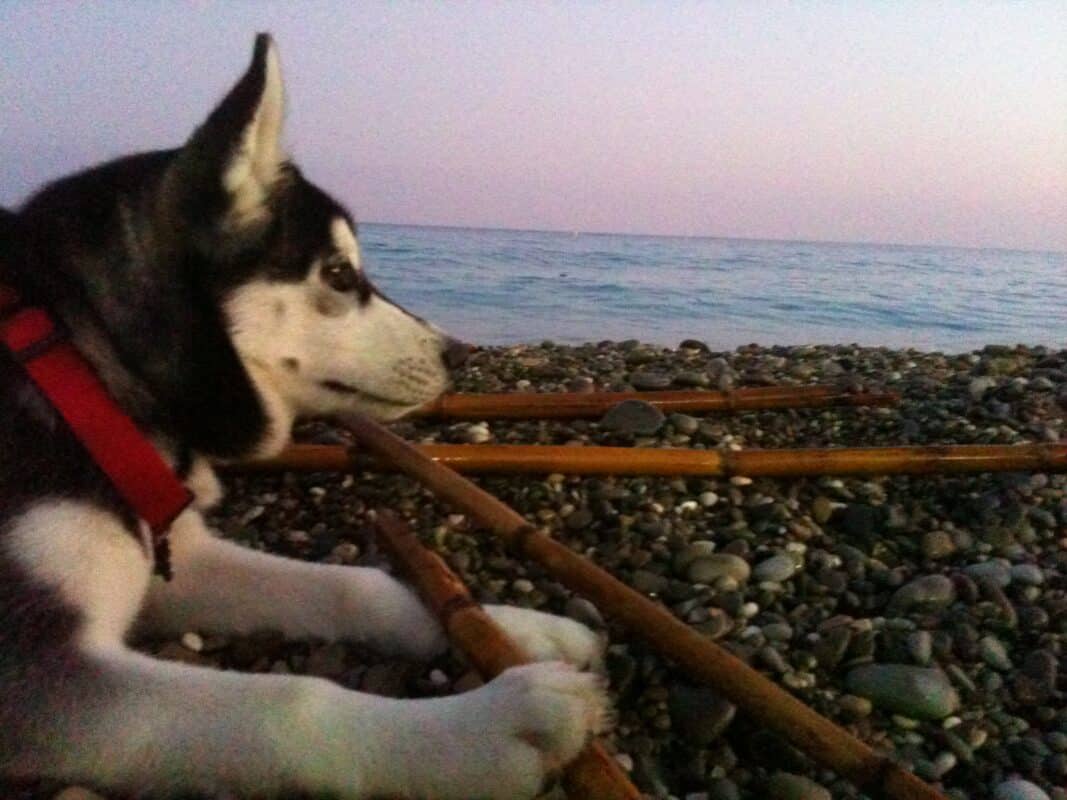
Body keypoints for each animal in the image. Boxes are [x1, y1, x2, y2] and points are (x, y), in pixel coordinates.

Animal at [0, 34, 610, 797]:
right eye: (340, 275)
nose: (459, 353)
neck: (87, 371)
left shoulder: (181, 559)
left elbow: (358, 586)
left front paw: (513, 630)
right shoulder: (33, 673)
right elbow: (293, 704)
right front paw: (485, 723)